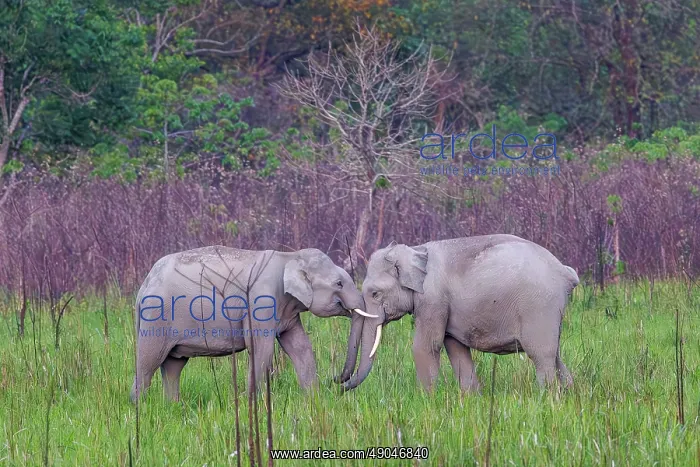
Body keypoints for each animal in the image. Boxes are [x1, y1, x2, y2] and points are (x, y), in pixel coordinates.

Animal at [131, 245, 372, 402]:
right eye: (339, 283)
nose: (335, 380)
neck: (290, 256)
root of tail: (145, 283)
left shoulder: (287, 310)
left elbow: (300, 347)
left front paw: (314, 402)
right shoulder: (260, 301)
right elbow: (261, 349)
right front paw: (252, 404)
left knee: (173, 365)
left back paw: (172, 406)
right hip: (156, 318)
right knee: (149, 363)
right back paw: (139, 407)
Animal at [338, 235, 580, 392]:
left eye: (375, 293)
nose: (338, 384)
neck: (417, 249)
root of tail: (566, 272)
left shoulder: (432, 299)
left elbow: (426, 346)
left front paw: (428, 399)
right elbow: (455, 347)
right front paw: (471, 398)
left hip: (539, 307)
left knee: (541, 355)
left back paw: (545, 397)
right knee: (555, 355)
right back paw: (567, 393)